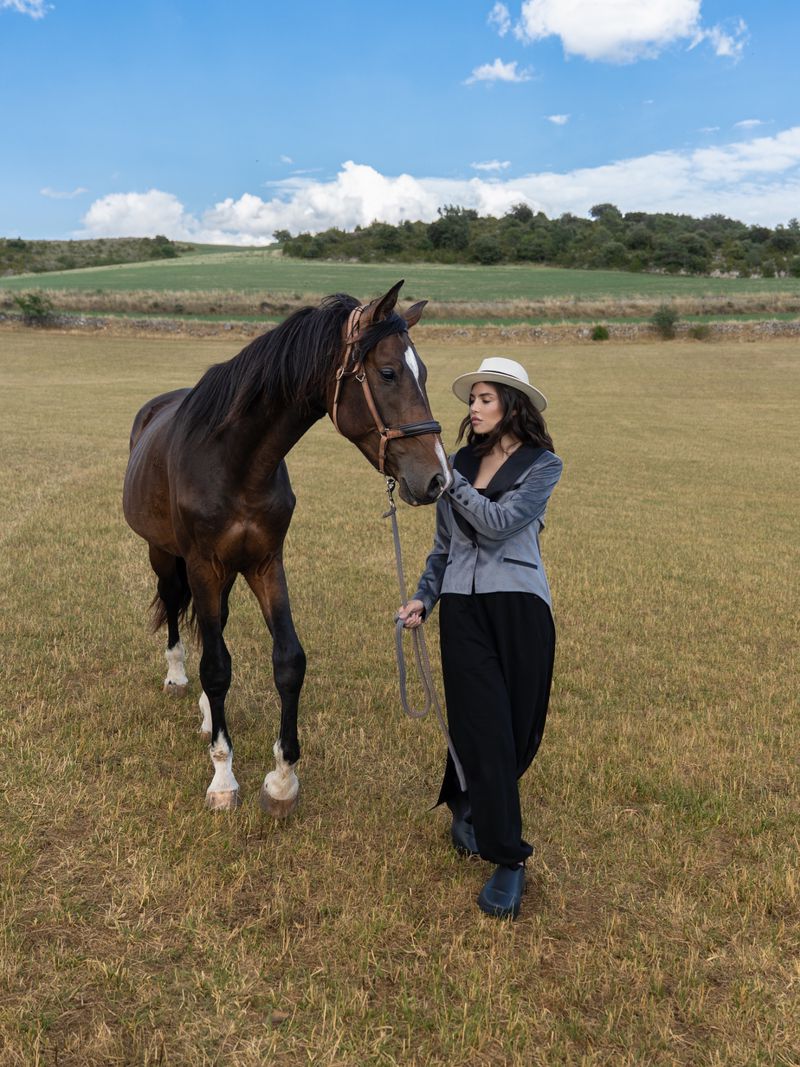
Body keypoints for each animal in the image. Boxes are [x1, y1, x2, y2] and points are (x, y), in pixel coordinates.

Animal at [122, 281, 451, 814]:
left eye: (421, 372)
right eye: (387, 372)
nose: (439, 478)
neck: (234, 460)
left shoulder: (264, 563)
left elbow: (288, 661)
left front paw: (282, 779)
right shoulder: (204, 564)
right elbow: (217, 667)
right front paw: (223, 777)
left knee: (215, 624)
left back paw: (206, 712)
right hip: (167, 555)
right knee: (173, 606)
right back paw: (177, 678)